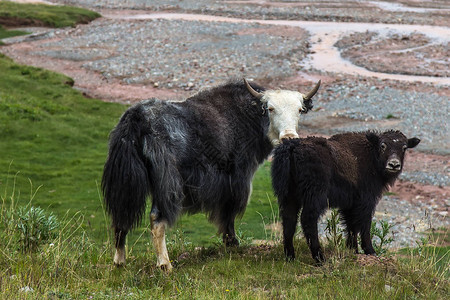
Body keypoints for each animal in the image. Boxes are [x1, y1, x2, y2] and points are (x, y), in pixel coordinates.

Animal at [270, 130, 422, 262]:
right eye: (383, 145)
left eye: (404, 147)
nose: (394, 164)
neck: (372, 155)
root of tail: (291, 147)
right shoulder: (366, 200)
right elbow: (364, 225)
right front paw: (370, 251)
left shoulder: (350, 204)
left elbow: (351, 226)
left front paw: (353, 250)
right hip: (315, 196)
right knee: (308, 220)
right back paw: (320, 258)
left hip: (289, 196)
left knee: (289, 220)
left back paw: (290, 256)